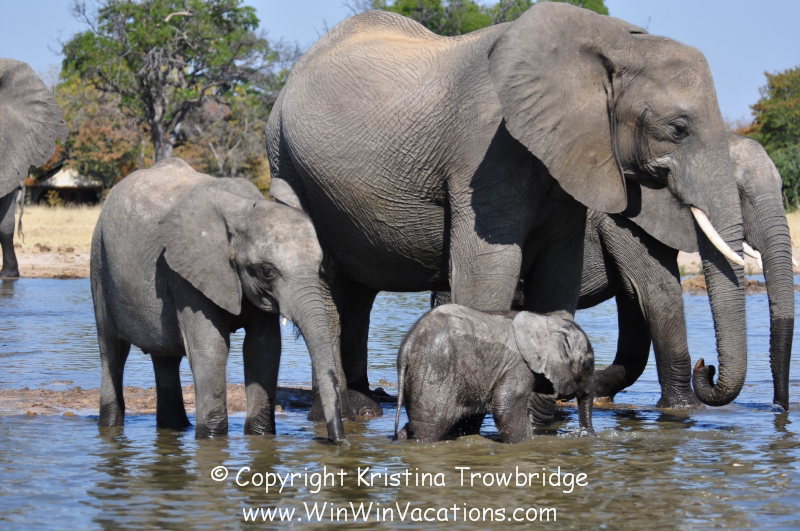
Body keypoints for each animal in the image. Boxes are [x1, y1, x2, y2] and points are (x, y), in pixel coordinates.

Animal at [90, 158, 345, 442]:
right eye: (267, 271)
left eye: (320, 267)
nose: (337, 440)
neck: (244, 208)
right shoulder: (186, 273)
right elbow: (211, 348)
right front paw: (211, 438)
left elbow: (263, 348)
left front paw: (260, 435)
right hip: (99, 261)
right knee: (112, 350)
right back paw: (110, 425)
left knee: (165, 357)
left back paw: (174, 427)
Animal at [266, 3, 748, 419]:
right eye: (679, 128)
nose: (708, 367)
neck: (610, 44)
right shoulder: (485, 152)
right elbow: (489, 274)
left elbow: (558, 275)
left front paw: (541, 417)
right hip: (287, 164)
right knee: (326, 286)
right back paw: (344, 412)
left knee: (356, 293)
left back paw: (364, 405)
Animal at [394, 305, 594, 443]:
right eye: (588, 366)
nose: (588, 435)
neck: (545, 321)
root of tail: (407, 344)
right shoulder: (518, 364)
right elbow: (506, 405)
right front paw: (526, 444)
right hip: (434, 370)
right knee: (433, 424)